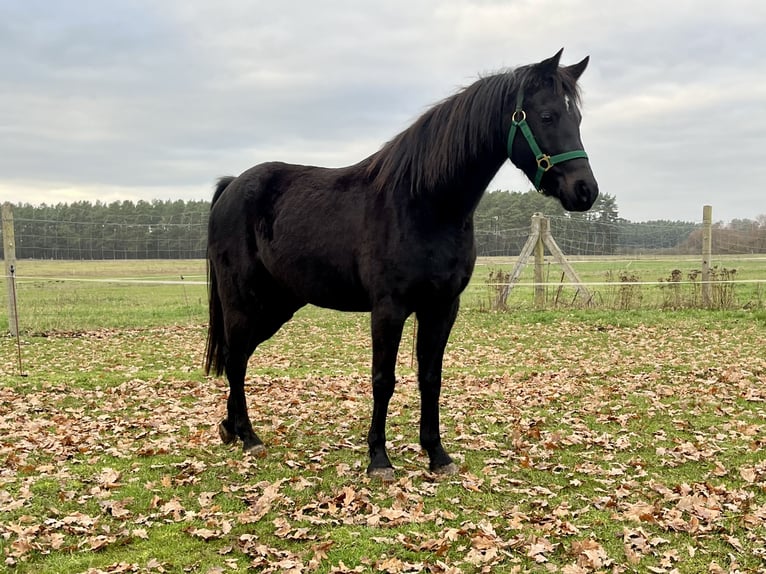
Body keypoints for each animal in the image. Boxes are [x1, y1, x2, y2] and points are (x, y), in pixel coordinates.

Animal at [204, 49, 600, 482]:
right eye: (547, 116)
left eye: (578, 119)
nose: (585, 191)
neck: (424, 203)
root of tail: (232, 186)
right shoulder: (388, 310)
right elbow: (383, 380)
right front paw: (379, 458)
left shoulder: (442, 308)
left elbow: (431, 377)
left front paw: (437, 454)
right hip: (244, 301)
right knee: (236, 359)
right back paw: (248, 437)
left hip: (277, 307)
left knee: (238, 356)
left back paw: (231, 428)